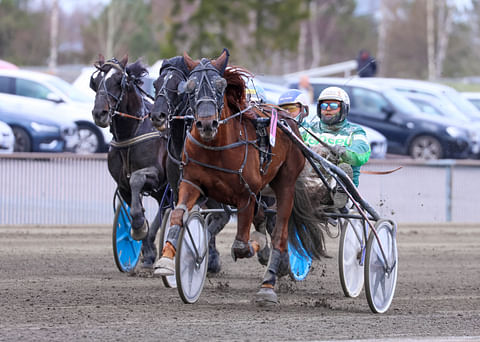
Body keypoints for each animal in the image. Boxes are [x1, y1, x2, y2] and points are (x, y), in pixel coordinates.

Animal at [156, 49, 328, 304]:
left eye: (221, 85)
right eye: (190, 86)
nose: (206, 124)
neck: (215, 147)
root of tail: (286, 119)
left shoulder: (245, 195)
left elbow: (241, 245)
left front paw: (256, 245)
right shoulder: (189, 184)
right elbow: (178, 216)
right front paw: (168, 261)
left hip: (285, 184)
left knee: (279, 232)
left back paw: (268, 283)